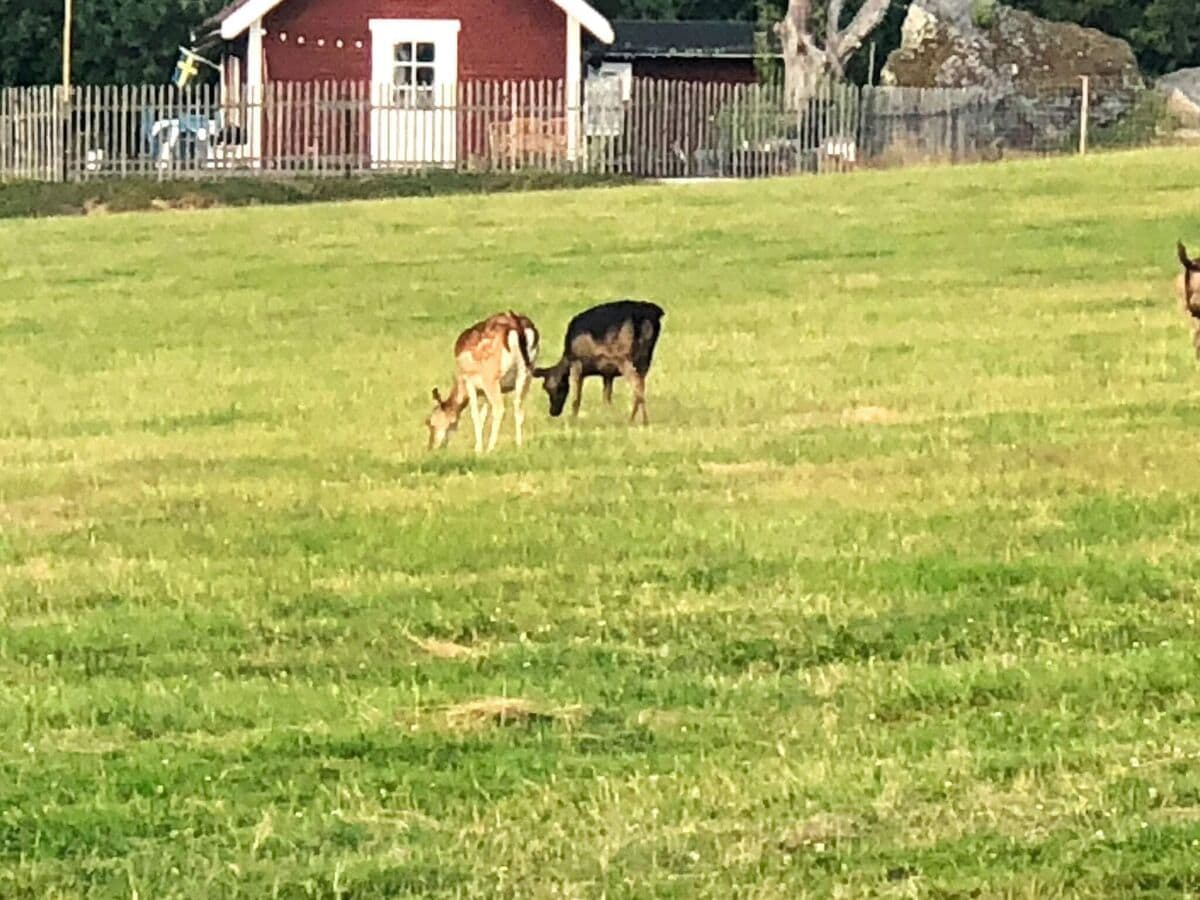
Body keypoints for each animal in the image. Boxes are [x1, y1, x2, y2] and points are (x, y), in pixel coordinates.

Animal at [422, 314, 535, 453]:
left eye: (430, 422)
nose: (431, 447)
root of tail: (516, 325)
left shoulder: (470, 381)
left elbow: (475, 414)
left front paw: (478, 449)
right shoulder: (484, 392)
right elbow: (483, 415)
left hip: (491, 377)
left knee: (499, 409)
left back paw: (490, 448)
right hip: (526, 373)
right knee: (518, 408)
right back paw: (519, 445)